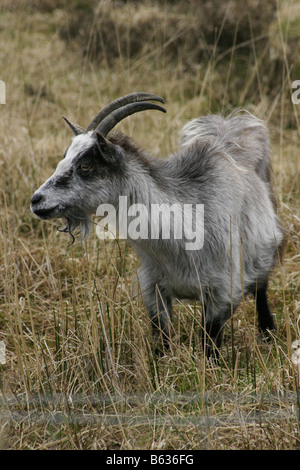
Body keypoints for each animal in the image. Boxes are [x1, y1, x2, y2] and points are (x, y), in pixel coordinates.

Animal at [30, 92, 284, 358]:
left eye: (86, 166)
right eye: (64, 158)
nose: (36, 200)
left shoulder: (223, 292)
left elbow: (210, 343)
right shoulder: (154, 289)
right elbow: (161, 338)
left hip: (262, 257)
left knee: (261, 292)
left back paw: (268, 333)